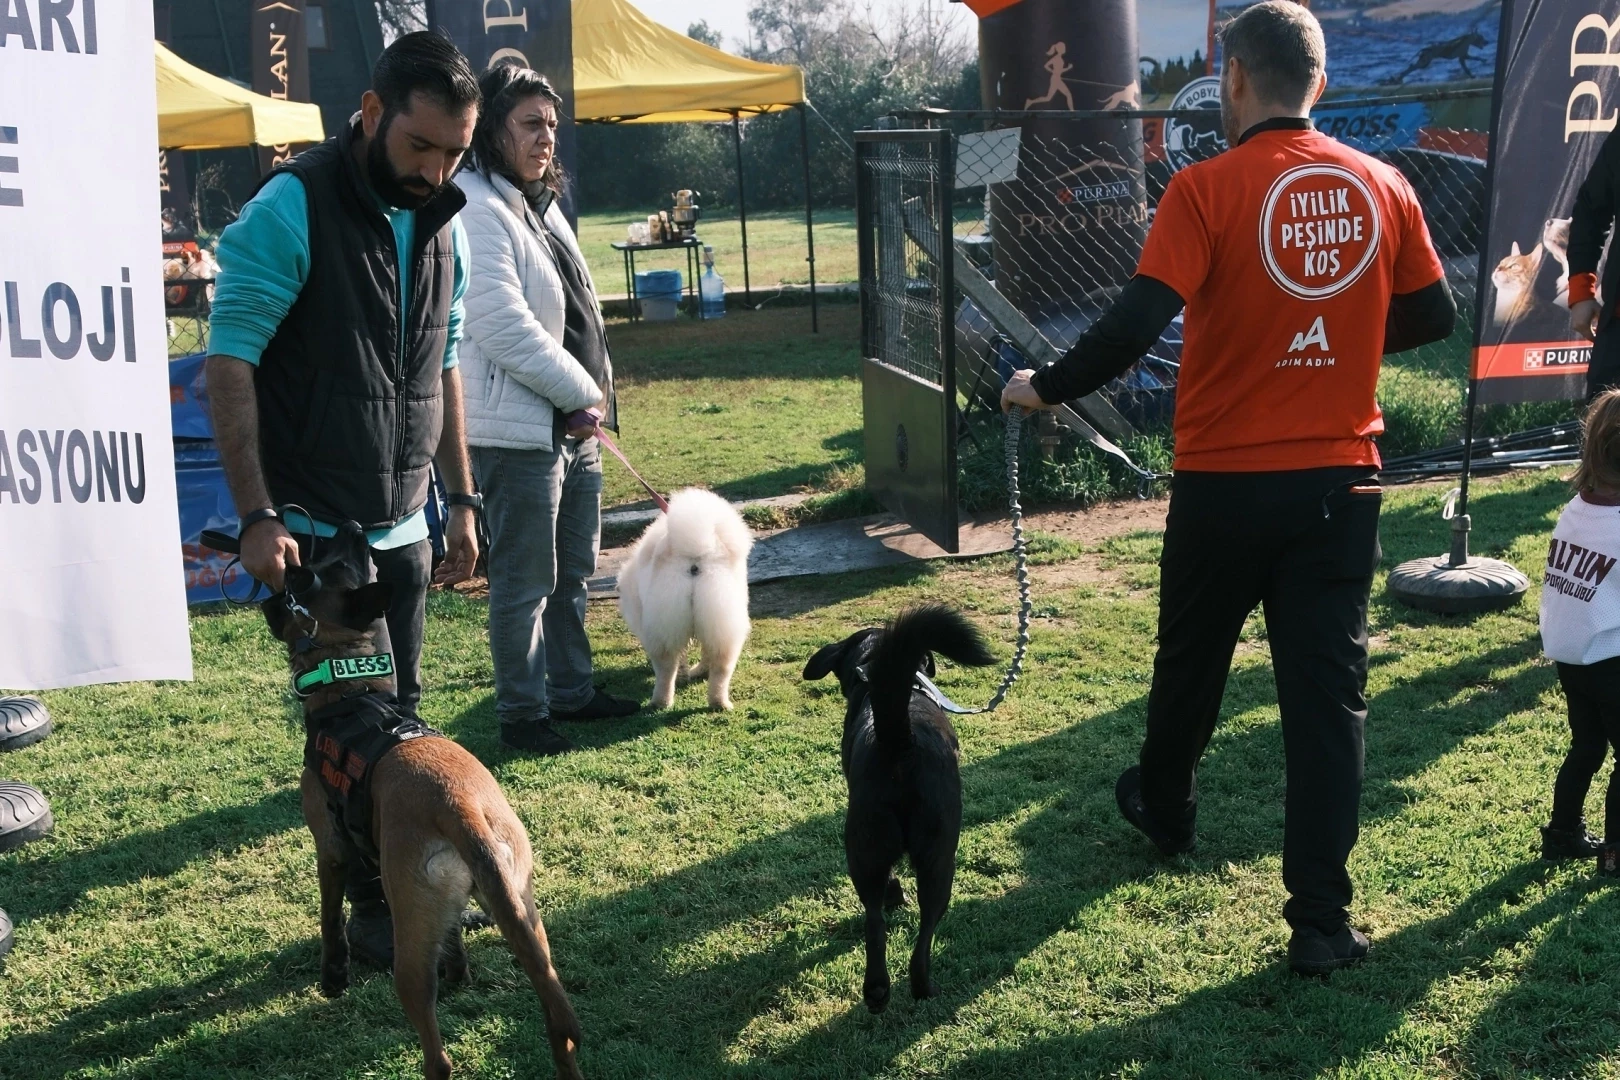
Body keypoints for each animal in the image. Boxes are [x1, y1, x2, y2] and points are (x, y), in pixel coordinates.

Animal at [262, 518, 592, 1075]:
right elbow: (454, 937)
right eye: (346, 558)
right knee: (558, 1028)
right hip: (526, 919)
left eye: (321, 567)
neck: (352, 693)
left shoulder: (330, 847)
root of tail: (462, 810)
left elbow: (330, 919)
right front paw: (459, 972)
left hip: (409, 953)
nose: (353, 525)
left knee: (438, 1058)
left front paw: (333, 977)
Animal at [615, 488, 754, 709]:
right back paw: (718, 701)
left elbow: (680, 659)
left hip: (663, 629)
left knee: (666, 668)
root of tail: (696, 555)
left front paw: (682, 676)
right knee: (720, 667)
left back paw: (661, 701)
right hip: (721, 622)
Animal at [803, 605, 991, 1010]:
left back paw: (881, 990)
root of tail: (899, 741)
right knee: (918, 930)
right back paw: (917, 989)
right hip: (937, 858)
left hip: (872, 850)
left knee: (878, 922)